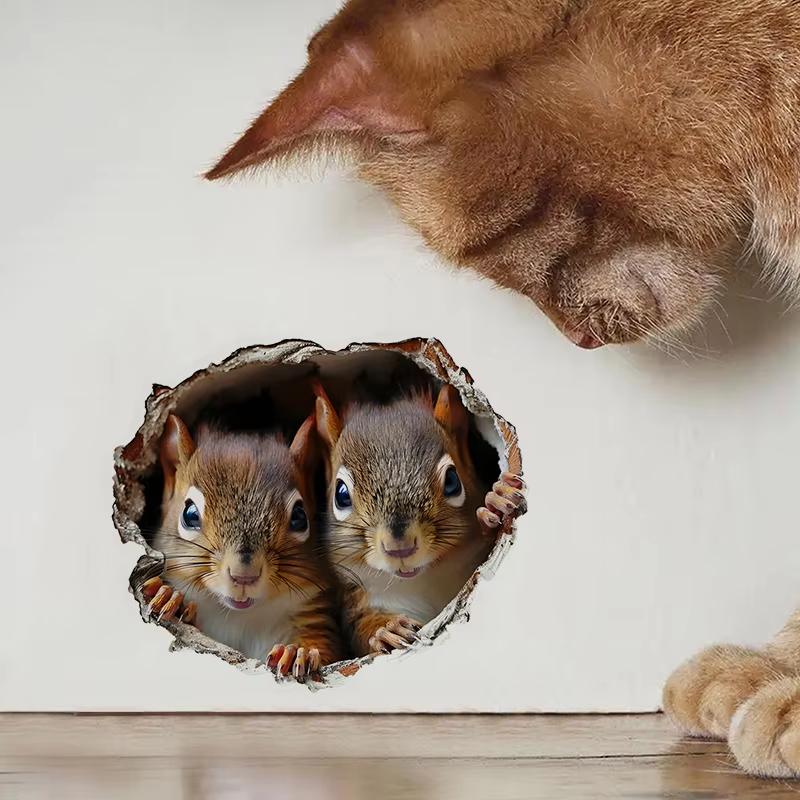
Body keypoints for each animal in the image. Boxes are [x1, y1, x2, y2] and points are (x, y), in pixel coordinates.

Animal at [144, 413, 344, 680]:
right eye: (189, 514)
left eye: (300, 517)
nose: (244, 575)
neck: (239, 617)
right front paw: (168, 596)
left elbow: (326, 648)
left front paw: (296, 653)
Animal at [313, 381, 526, 657]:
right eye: (341, 495)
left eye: (452, 481)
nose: (399, 547)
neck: (421, 580)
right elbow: (360, 629)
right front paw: (386, 630)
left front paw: (496, 504)